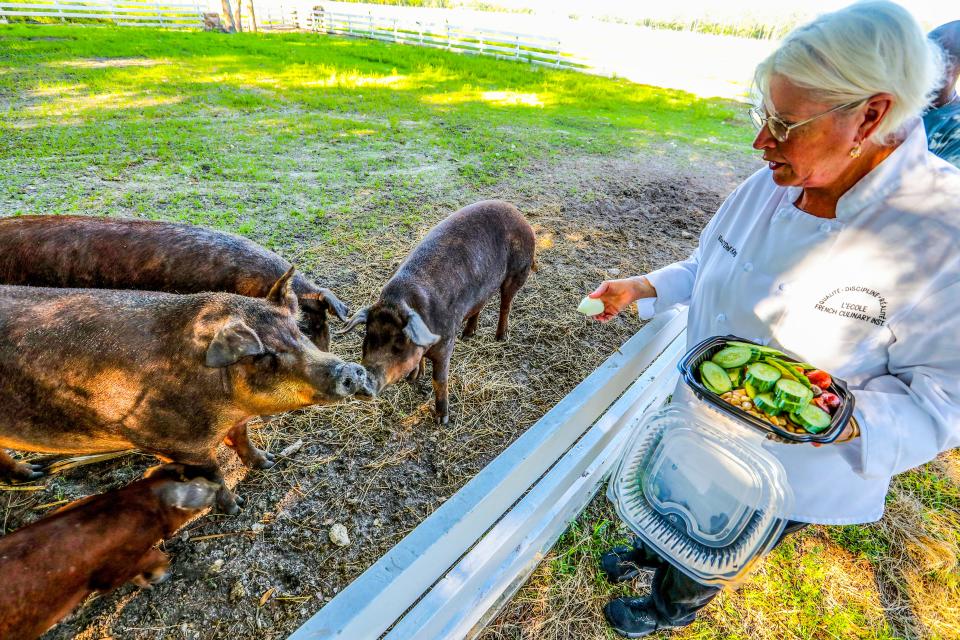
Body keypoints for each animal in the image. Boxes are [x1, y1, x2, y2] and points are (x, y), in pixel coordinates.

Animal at [0, 268, 372, 510]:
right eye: (264, 356)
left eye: (298, 332)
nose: (352, 370)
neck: (226, 406)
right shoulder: (178, 446)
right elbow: (214, 475)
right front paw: (236, 506)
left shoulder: (235, 423)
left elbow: (243, 439)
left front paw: (268, 462)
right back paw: (34, 473)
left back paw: (33, 472)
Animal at [0, 462, 218, 640]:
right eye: (202, 489)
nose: (216, 486)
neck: (147, 504)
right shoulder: (115, 569)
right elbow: (155, 557)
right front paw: (159, 579)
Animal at [340, 201, 536, 424]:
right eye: (367, 338)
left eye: (399, 344)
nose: (362, 385)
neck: (397, 303)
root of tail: (518, 213)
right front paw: (414, 378)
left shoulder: (446, 342)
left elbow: (439, 380)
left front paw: (443, 420)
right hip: (483, 287)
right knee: (480, 306)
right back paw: (468, 335)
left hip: (519, 271)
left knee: (506, 304)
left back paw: (501, 337)